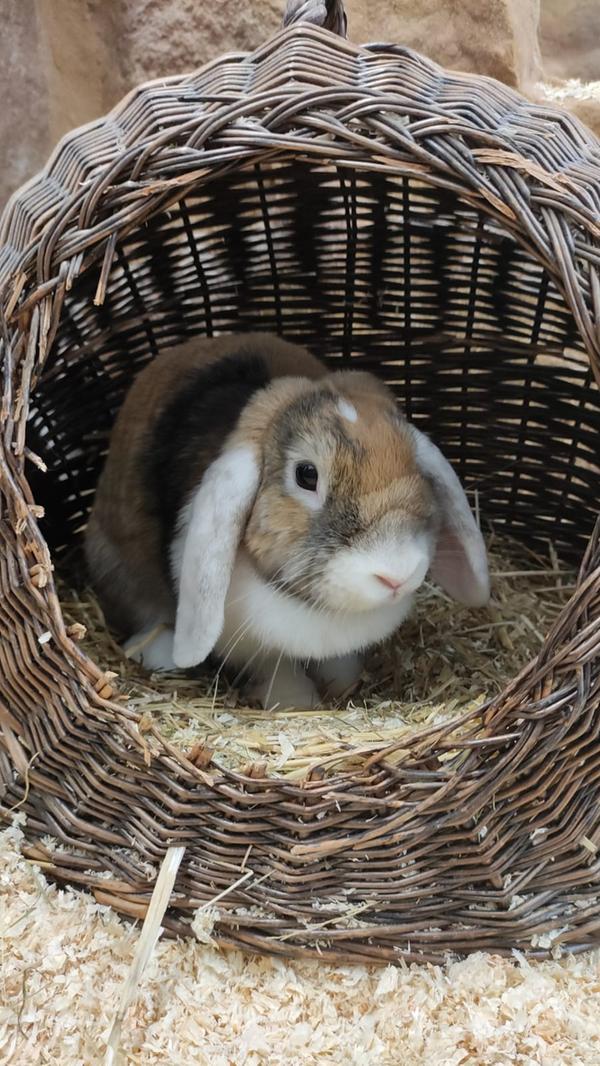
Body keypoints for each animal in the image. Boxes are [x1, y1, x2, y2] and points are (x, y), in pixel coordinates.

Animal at [85, 332, 490, 710]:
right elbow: (275, 668)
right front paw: (298, 702)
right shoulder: (251, 647)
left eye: (413, 465)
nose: (399, 575)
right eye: (306, 475)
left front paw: (342, 683)